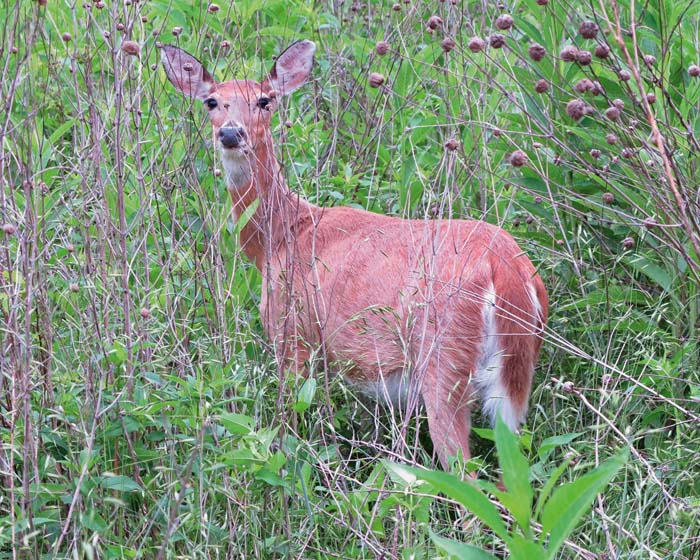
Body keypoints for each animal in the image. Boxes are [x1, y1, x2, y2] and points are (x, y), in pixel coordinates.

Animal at [161, 38, 548, 468]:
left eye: (265, 100)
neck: (281, 236)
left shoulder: (292, 332)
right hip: (514, 376)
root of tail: (506, 268)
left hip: (443, 357)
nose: (231, 133)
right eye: (211, 101)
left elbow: (290, 420)